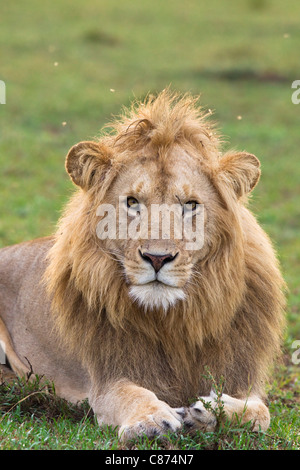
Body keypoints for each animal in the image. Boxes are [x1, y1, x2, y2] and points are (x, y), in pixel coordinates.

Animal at [0, 92, 286, 440]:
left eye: (190, 205)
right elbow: (132, 394)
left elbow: (260, 412)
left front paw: (207, 411)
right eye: (133, 202)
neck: (173, 322)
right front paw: (152, 420)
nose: (157, 258)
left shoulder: (241, 376)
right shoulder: (106, 380)